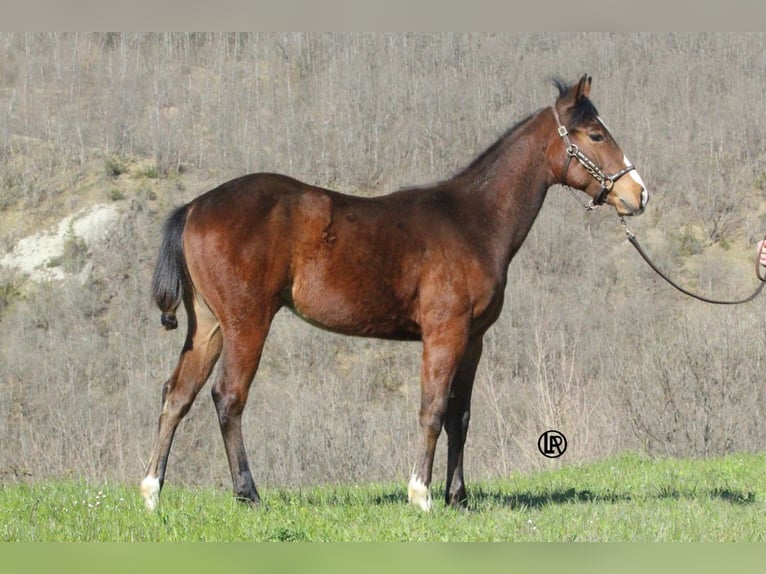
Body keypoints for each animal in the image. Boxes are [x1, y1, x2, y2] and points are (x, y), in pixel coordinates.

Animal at [141, 74, 649, 512]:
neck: (472, 221)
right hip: (247, 323)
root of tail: (194, 207)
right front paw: (420, 493)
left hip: (208, 327)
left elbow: (460, 416)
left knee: (177, 395)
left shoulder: (473, 339)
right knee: (228, 397)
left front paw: (458, 498)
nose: (638, 194)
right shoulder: (444, 333)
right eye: (596, 135)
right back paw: (248, 494)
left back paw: (151, 491)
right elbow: (433, 408)